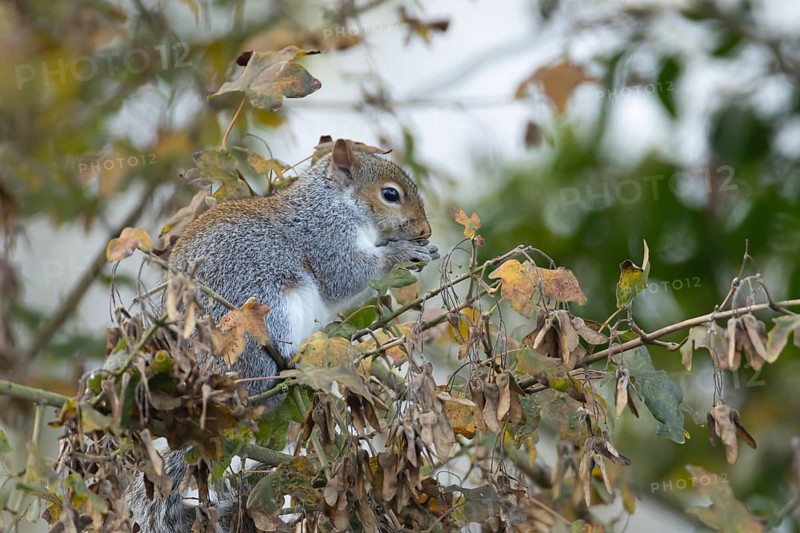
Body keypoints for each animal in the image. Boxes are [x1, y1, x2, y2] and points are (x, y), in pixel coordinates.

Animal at [128, 139, 439, 532]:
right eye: (390, 195)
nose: (426, 231)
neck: (336, 201)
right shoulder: (325, 236)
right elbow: (346, 274)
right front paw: (403, 253)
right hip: (266, 313)